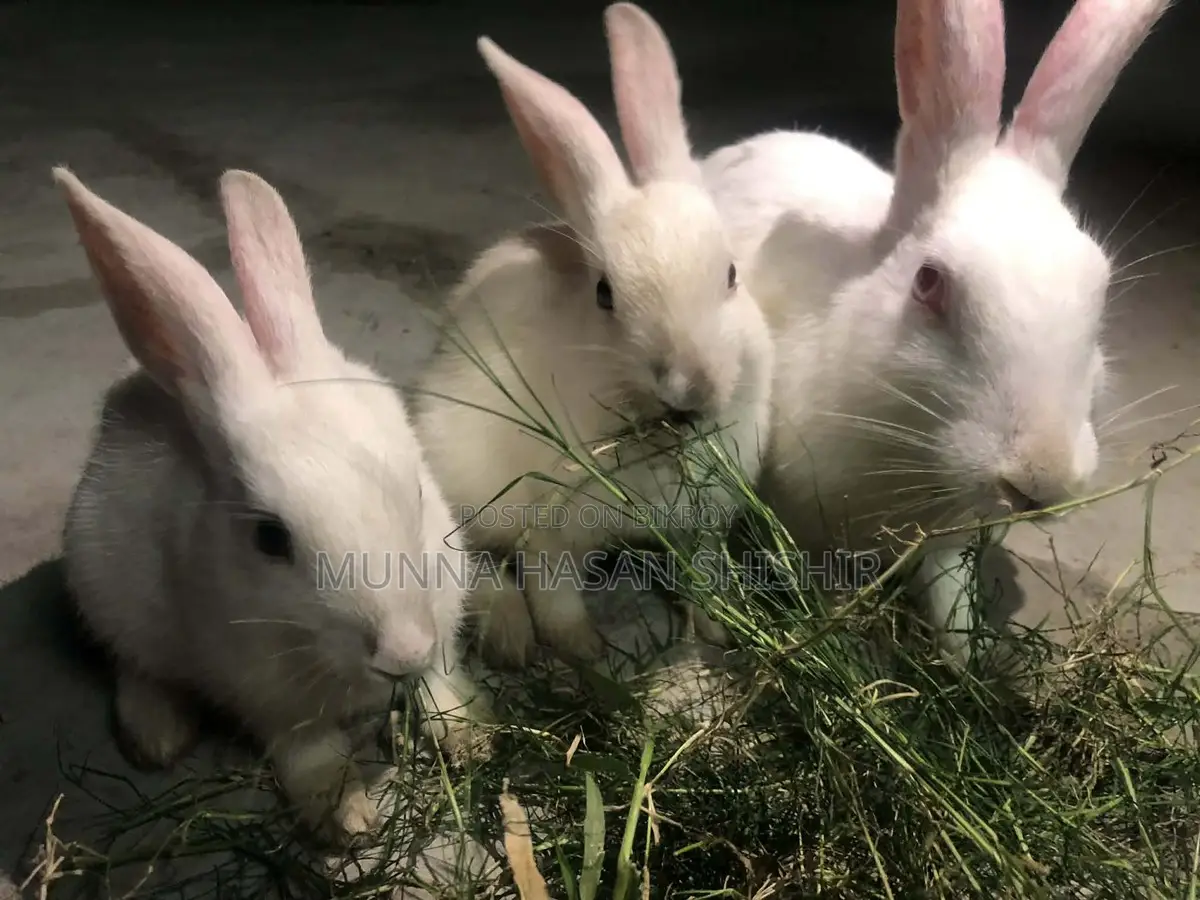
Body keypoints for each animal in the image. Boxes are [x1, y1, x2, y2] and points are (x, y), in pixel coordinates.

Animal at [56, 166, 491, 841]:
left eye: (417, 491)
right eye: (269, 538)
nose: (401, 651)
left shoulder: (442, 628)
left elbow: (440, 684)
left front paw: (471, 738)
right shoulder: (267, 695)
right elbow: (307, 749)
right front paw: (347, 818)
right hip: (102, 586)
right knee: (134, 666)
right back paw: (157, 737)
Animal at [410, 2, 774, 669]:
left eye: (732, 274)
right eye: (606, 294)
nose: (691, 386)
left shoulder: (703, 524)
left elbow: (705, 575)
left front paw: (718, 630)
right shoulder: (548, 529)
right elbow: (554, 595)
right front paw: (585, 653)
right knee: (478, 563)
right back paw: (511, 639)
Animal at [698, 0, 1172, 662]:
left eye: (1100, 286)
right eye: (928, 282)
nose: (1043, 480)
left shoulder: (947, 541)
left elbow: (950, 594)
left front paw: (967, 658)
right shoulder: (803, 518)